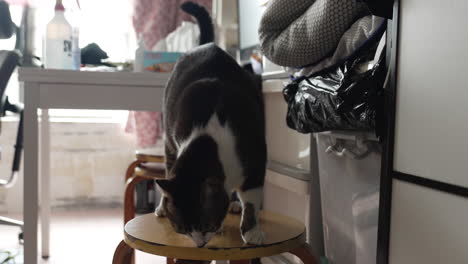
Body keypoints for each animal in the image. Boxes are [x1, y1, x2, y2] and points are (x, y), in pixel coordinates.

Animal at [153, 1, 266, 248]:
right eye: (182, 230)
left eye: (206, 225)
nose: (200, 245)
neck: (209, 136)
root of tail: (206, 45)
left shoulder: (255, 156)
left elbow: (252, 198)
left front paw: (252, 230)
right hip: (168, 143)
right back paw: (161, 207)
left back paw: (235, 205)